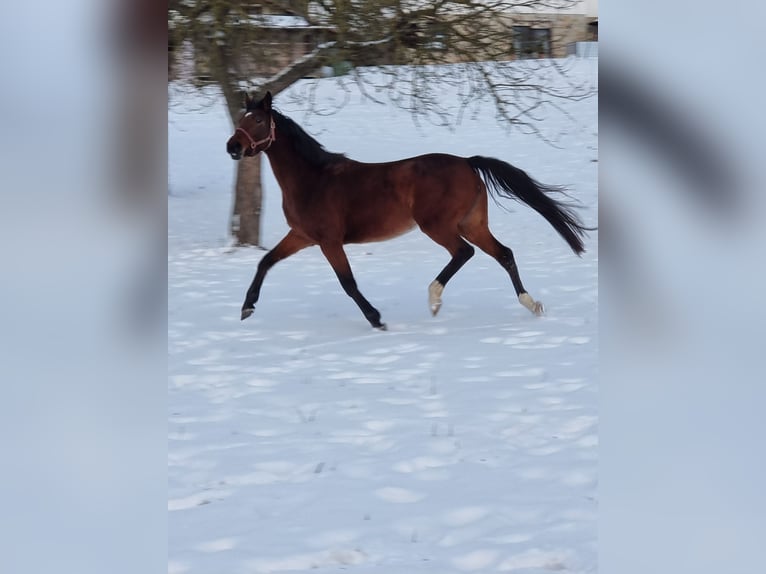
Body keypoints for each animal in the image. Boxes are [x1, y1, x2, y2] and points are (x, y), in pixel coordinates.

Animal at [226, 91, 593, 330]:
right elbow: (265, 261)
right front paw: (246, 307)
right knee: (503, 254)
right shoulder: (302, 235)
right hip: (472, 223)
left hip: (438, 225)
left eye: (258, 120)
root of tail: (467, 163)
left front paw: (377, 320)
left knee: (464, 253)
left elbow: (348, 283)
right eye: (241, 118)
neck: (312, 178)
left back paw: (434, 299)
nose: (233, 146)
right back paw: (532, 304)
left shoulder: (329, 241)